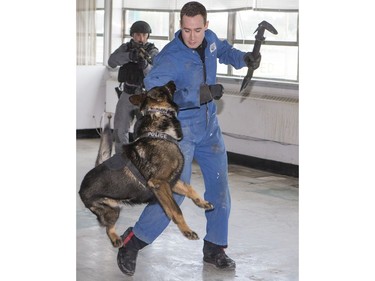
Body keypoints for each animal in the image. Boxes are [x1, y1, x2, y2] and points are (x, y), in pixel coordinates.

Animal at [79, 81, 214, 247]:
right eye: (163, 88)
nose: (172, 82)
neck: (161, 131)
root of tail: (81, 187)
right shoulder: (159, 183)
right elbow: (176, 210)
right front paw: (186, 230)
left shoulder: (170, 182)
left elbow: (189, 189)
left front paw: (202, 202)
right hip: (112, 209)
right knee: (107, 228)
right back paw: (116, 239)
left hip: (115, 208)